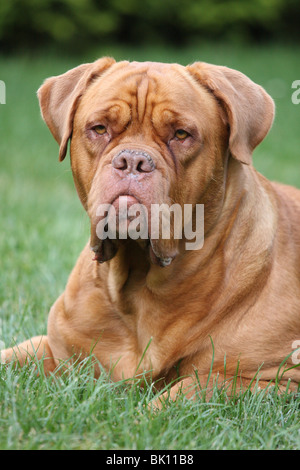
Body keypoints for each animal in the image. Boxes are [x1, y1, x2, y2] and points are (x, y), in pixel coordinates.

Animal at [0, 57, 300, 400]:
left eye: (181, 134)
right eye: (99, 129)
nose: (133, 160)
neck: (137, 283)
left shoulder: (274, 378)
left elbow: (190, 388)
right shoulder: (55, 348)